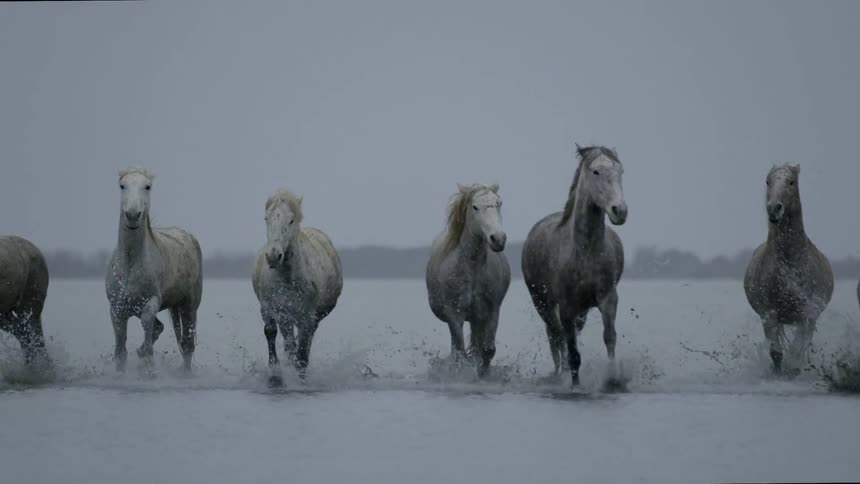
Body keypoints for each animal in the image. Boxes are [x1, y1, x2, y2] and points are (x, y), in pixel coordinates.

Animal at [105, 167, 203, 372]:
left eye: (147, 186)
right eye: (122, 185)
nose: (132, 215)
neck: (130, 264)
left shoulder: (150, 303)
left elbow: (148, 330)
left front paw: (148, 366)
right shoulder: (116, 309)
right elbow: (120, 351)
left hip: (189, 306)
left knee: (187, 344)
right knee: (164, 330)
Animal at [252, 189, 343, 385]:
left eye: (291, 220)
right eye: (266, 218)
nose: (273, 256)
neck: (287, 279)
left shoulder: (307, 317)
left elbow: (302, 355)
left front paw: (301, 380)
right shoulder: (270, 308)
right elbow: (271, 332)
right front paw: (275, 373)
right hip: (286, 317)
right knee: (289, 344)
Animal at [426, 183, 511, 378]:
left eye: (499, 203)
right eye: (475, 207)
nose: (498, 239)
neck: (472, 271)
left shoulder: (492, 311)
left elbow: (487, 350)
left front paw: (482, 373)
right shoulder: (454, 315)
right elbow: (460, 353)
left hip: (477, 319)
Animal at [522, 144, 628, 387]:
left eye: (620, 172)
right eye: (596, 172)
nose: (620, 211)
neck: (585, 251)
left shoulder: (608, 298)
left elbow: (610, 337)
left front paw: (613, 378)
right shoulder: (567, 307)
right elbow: (572, 351)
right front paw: (575, 385)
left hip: (582, 310)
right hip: (543, 303)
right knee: (556, 336)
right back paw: (560, 374)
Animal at [744, 164, 833, 374]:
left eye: (791, 182)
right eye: (767, 181)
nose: (774, 209)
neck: (791, 266)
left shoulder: (807, 316)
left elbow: (796, 351)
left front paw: (793, 370)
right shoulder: (769, 314)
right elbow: (776, 353)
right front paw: (779, 373)